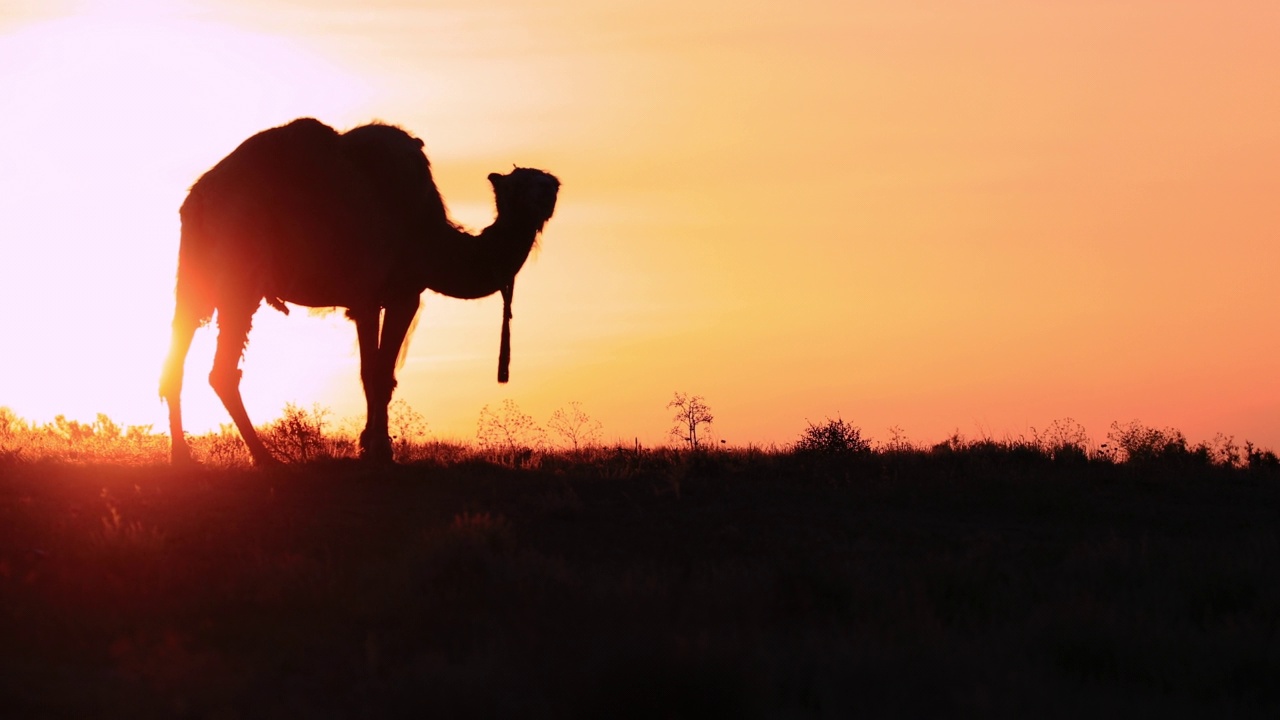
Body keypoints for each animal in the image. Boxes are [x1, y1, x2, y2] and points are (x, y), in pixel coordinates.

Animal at [157, 117, 558, 466]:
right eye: (521, 186)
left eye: (547, 183)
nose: (550, 193)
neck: (429, 235)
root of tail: (200, 198)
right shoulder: (391, 296)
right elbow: (376, 373)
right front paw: (379, 450)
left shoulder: (375, 299)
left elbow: (380, 374)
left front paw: (370, 444)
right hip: (241, 272)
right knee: (222, 370)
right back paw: (266, 460)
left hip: (194, 278)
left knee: (176, 356)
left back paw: (182, 457)